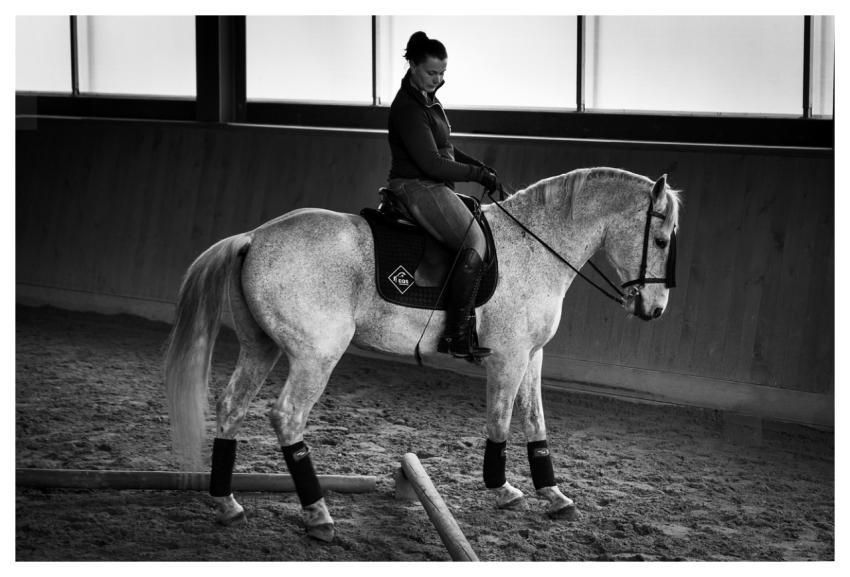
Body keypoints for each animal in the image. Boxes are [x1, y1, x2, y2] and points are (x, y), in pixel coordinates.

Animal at [164, 167, 681, 542]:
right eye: (659, 240)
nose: (654, 309)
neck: (536, 247)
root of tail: (254, 237)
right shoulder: (509, 357)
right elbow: (500, 421)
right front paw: (502, 489)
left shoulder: (532, 355)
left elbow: (536, 422)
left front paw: (554, 495)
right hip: (316, 354)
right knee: (288, 416)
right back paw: (317, 514)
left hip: (261, 347)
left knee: (232, 407)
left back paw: (227, 504)